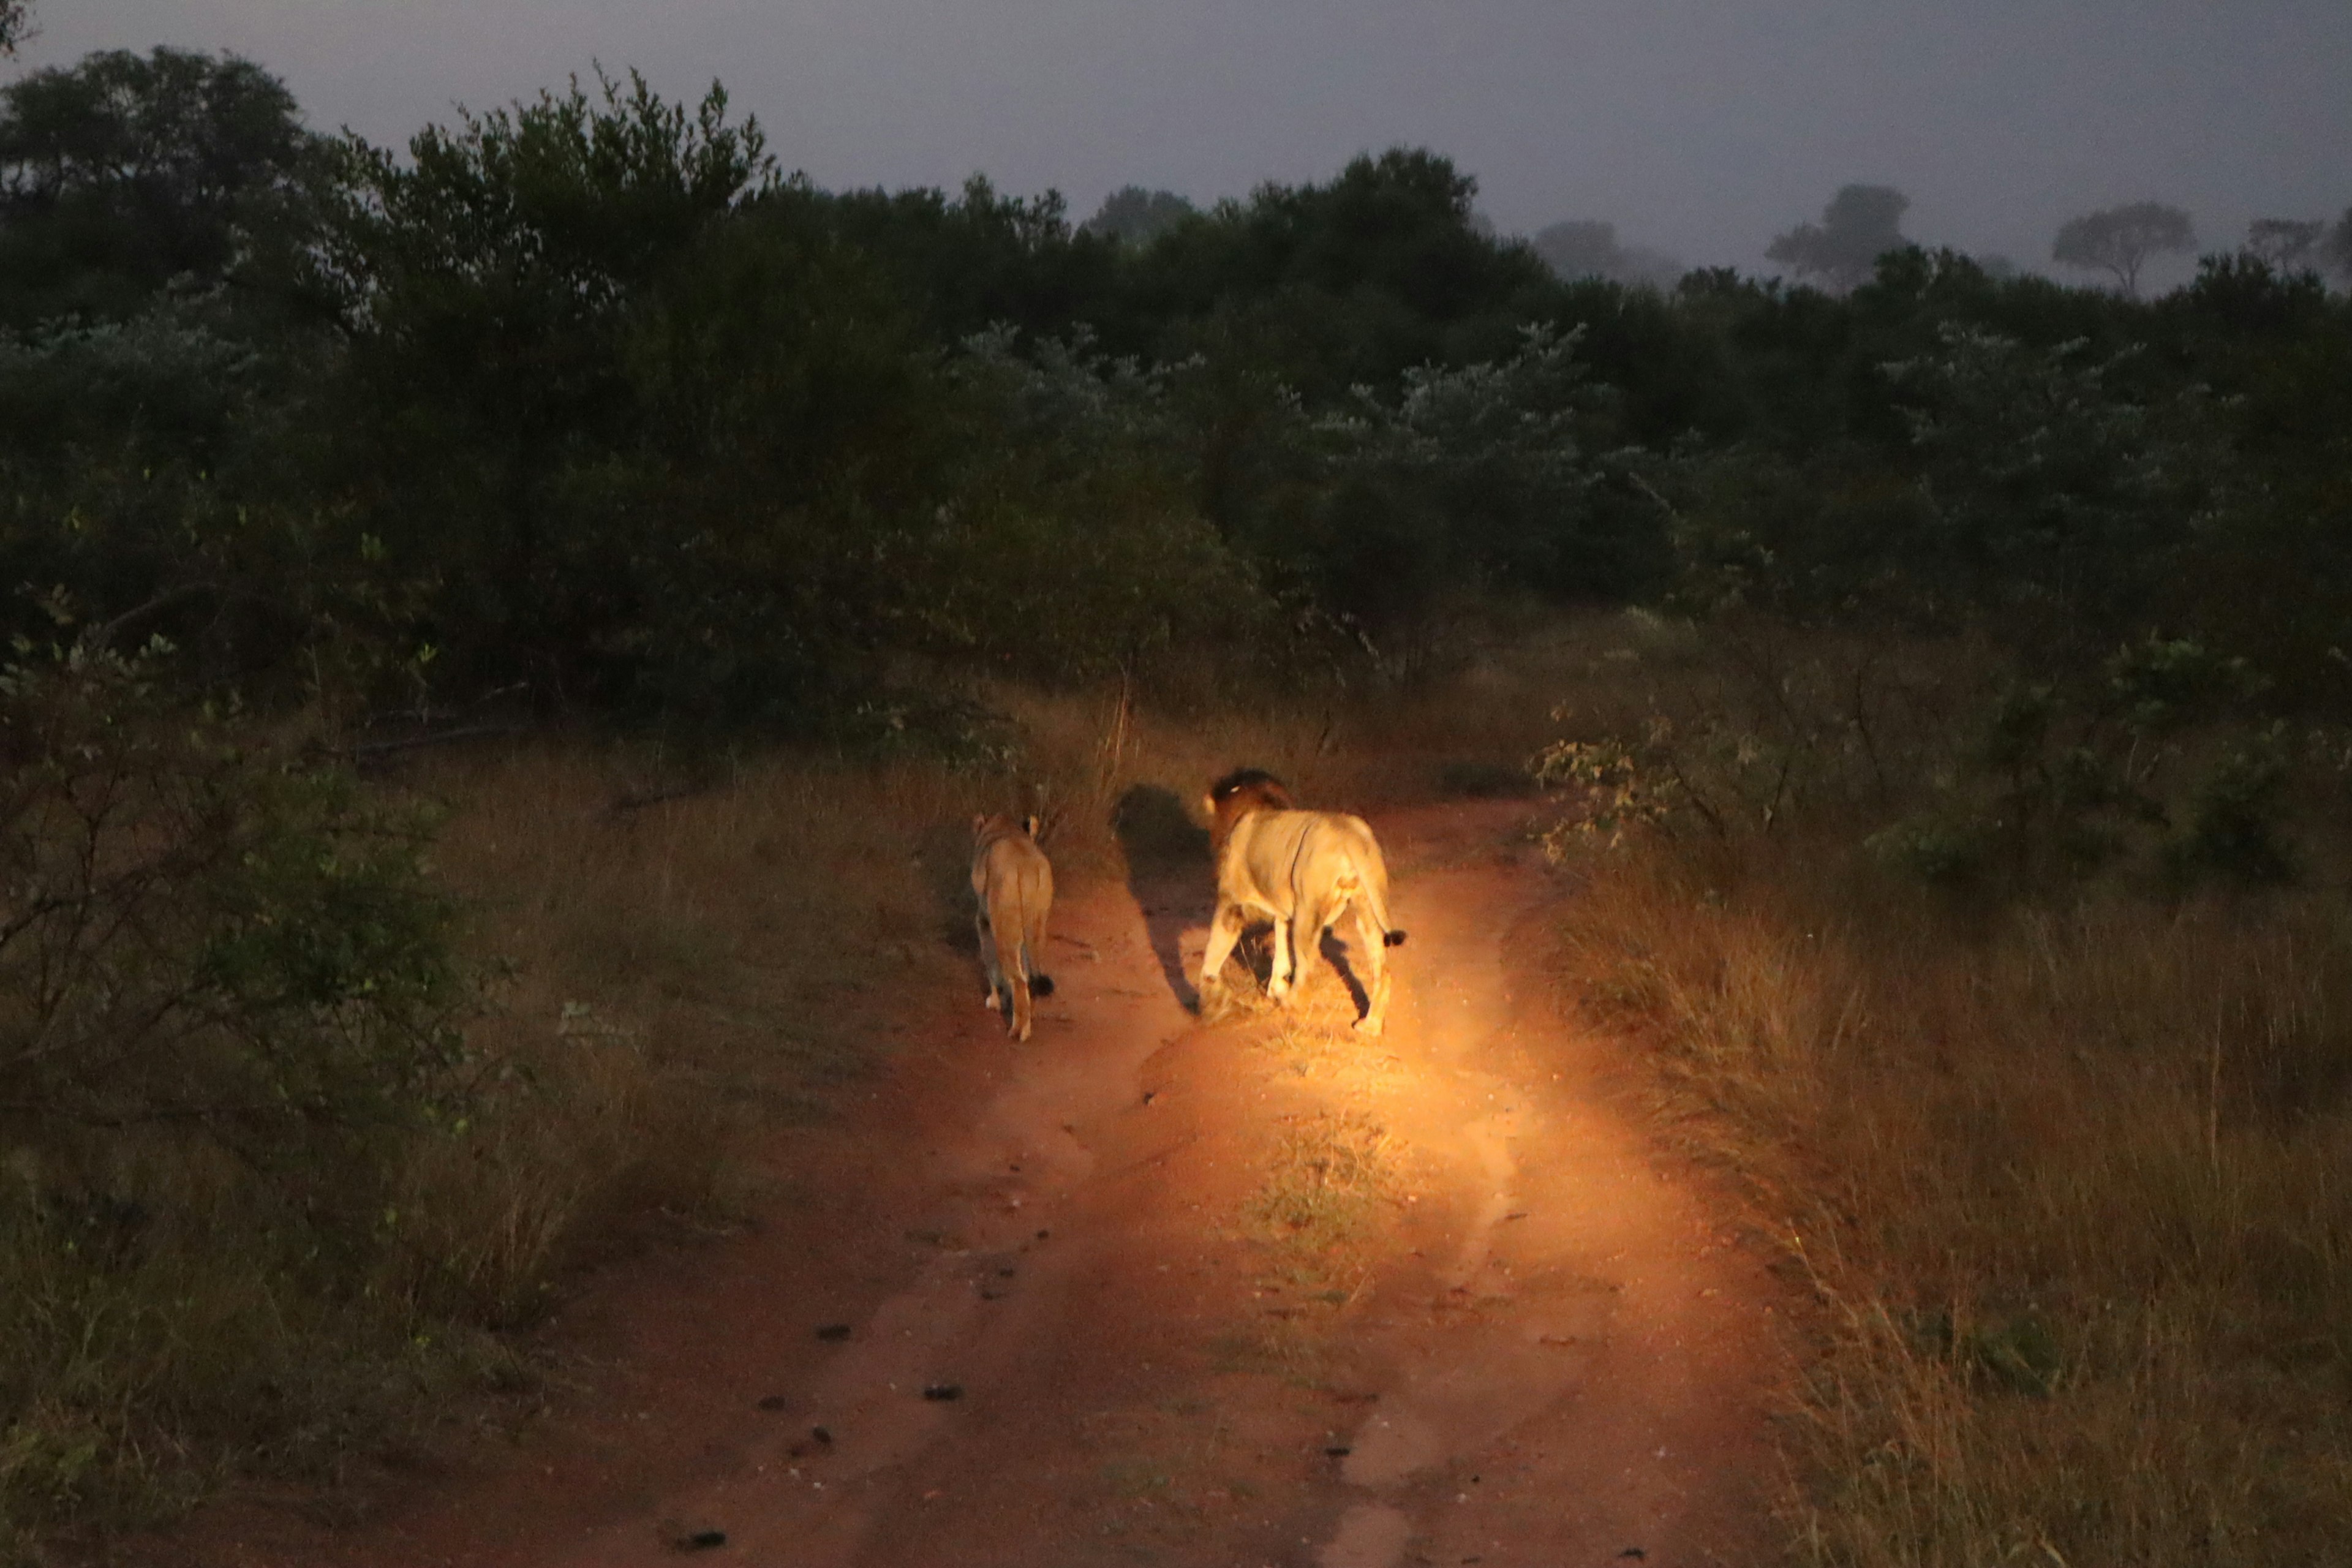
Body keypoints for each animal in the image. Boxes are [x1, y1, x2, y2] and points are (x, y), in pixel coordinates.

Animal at [964, 818, 1058, 1048]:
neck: (1004, 827)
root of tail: (1027, 867)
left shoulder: (984, 922)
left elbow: (992, 966)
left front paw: (996, 1001)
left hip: (1004, 929)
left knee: (1018, 980)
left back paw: (1018, 1032)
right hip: (1037, 925)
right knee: (1029, 974)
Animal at [1204, 771, 1401, 1034]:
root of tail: (1349, 834)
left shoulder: (1231, 902)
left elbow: (1213, 952)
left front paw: (1210, 1006)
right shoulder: (1283, 910)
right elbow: (1280, 945)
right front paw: (1276, 986)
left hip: (1308, 909)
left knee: (1307, 965)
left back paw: (1289, 1003)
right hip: (1368, 902)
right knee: (1383, 969)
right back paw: (1370, 1026)